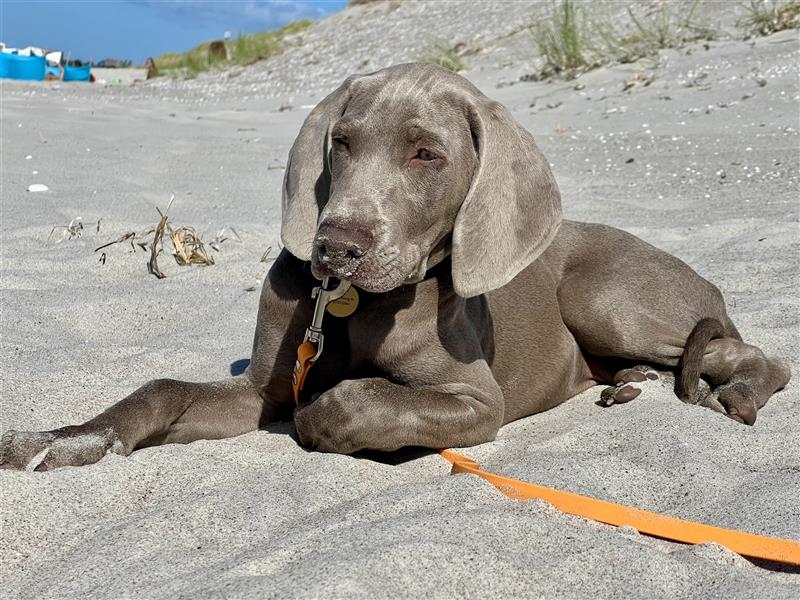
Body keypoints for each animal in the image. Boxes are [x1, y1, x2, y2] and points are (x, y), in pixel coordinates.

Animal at [0, 63, 792, 472]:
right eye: (343, 142)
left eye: (425, 155)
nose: (335, 246)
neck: (356, 302)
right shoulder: (262, 388)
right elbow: (158, 389)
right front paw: (61, 441)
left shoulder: (476, 399)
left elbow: (350, 400)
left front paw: (332, 417)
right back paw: (631, 385)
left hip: (602, 295)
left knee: (756, 353)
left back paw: (738, 392)